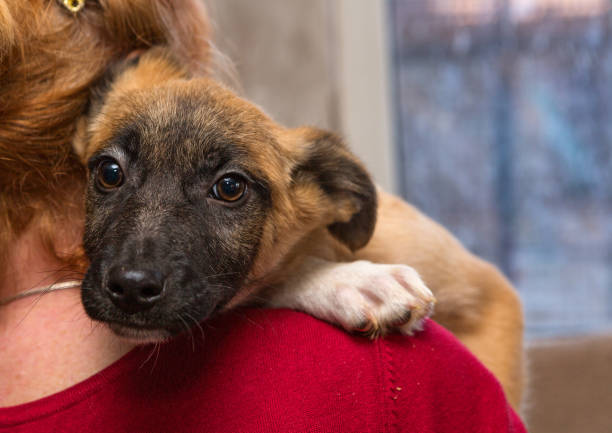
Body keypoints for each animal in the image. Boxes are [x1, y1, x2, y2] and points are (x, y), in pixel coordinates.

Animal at [74, 50, 524, 408]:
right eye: (110, 172)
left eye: (230, 187)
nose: (131, 287)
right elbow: (278, 277)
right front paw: (353, 283)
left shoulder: (490, 299)